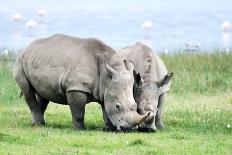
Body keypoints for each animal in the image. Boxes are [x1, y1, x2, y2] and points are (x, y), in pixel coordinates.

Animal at [14, 34, 152, 131]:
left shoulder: (106, 89)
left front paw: (110, 128)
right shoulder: (76, 88)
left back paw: (41, 124)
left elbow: (106, 109)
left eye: (135, 105)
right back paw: (37, 124)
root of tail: (26, 48)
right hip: (20, 61)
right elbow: (79, 112)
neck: (107, 75)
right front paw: (79, 129)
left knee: (43, 94)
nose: (128, 128)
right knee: (28, 92)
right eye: (118, 106)